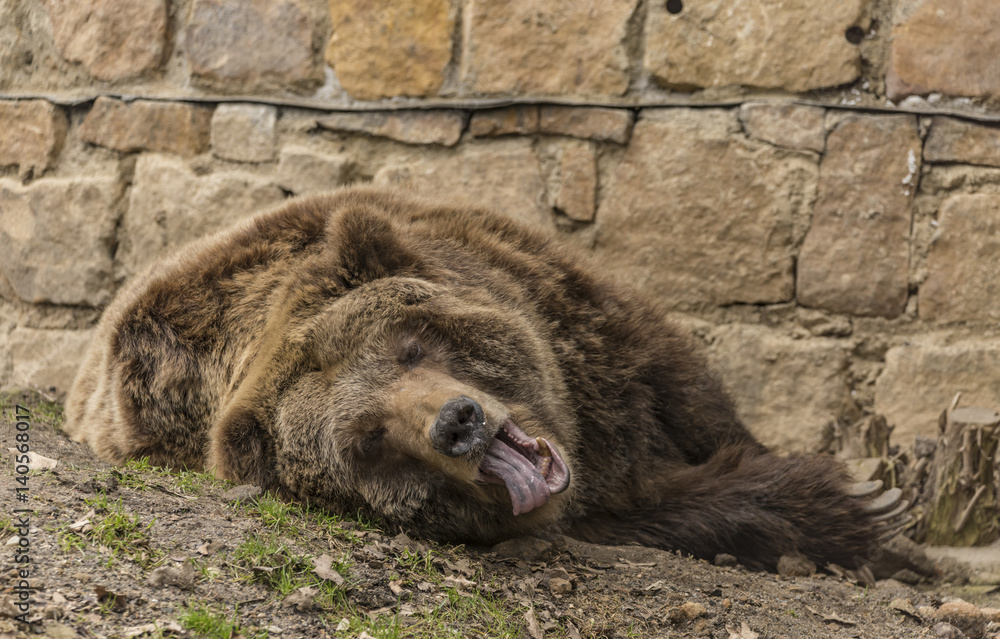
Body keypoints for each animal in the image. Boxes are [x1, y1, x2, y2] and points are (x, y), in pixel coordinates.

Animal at [65, 186, 905, 570]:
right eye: (367, 439)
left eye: (409, 344)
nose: (458, 421)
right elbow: (648, 510)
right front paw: (853, 504)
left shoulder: (578, 319)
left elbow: (690, 391)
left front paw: (873, 494)